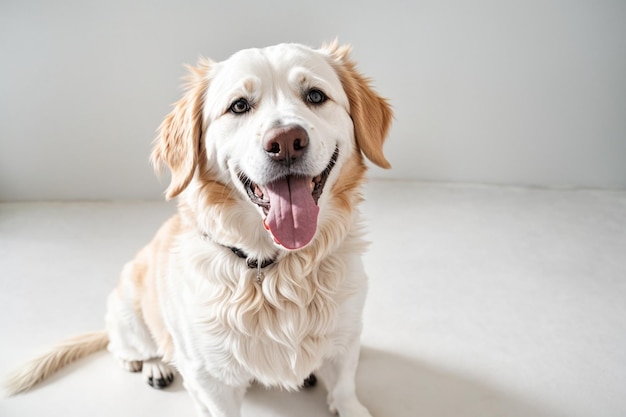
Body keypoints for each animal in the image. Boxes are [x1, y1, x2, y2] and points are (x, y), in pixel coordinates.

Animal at [6, 41, 390, 416]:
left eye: (315, 96)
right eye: (239, 106)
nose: (285, 142)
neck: (277, 270)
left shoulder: (346, 339)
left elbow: (344, 389)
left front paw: (348, 405)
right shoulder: (210, 376)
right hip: (130, 314)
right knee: (125, 349)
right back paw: (152, 365)